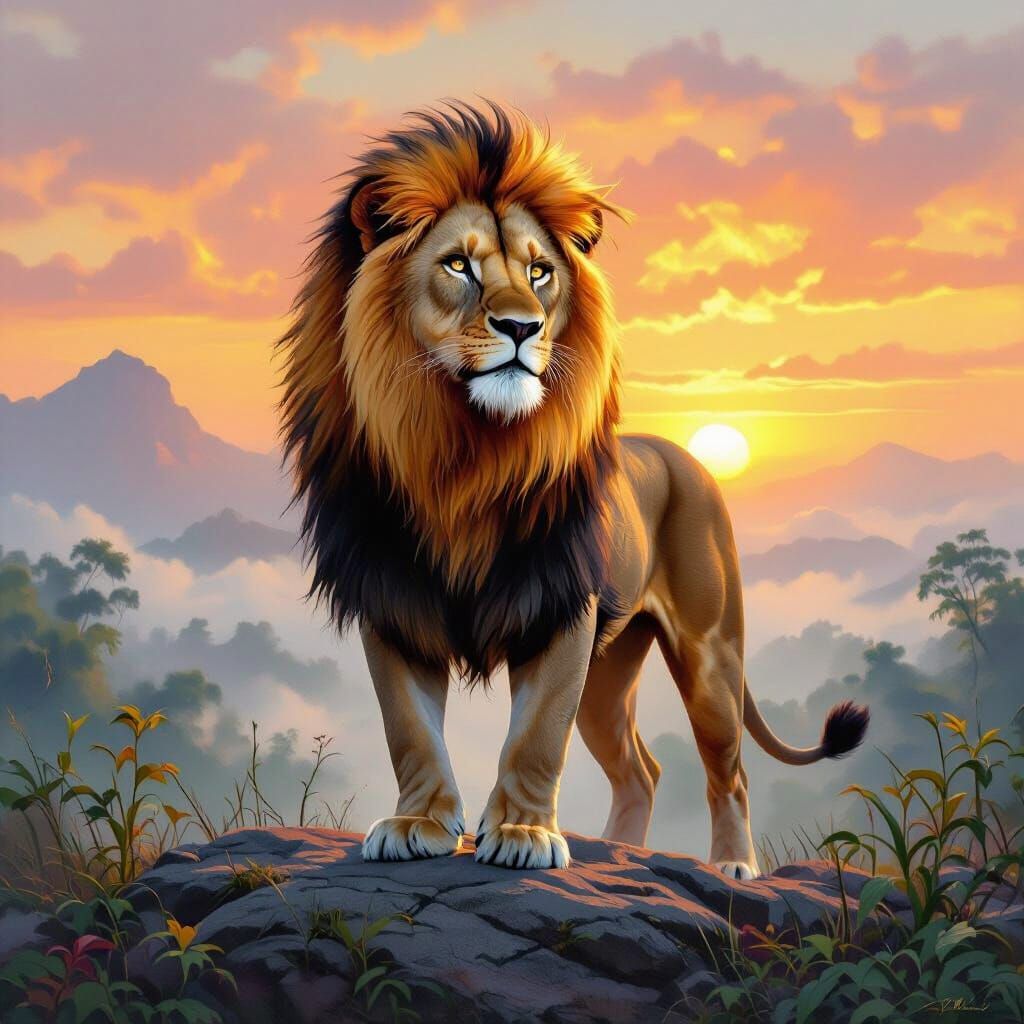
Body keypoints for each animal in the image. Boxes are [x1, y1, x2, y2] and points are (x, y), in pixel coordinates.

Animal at [278, 102, 868, 879]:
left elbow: (534, 737)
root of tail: (686, 455)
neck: (461, 455)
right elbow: (410, 729)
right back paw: (620, 851)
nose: (521, 327)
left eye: (539, 272)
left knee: (730, 770)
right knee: (641, 769)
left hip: (709, 654)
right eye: (458, 264)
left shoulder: (561, 608)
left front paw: (522, 835)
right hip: (611, 672)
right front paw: (419, 824)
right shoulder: (393, 598)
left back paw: (733, 866)